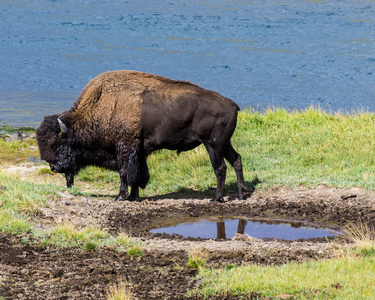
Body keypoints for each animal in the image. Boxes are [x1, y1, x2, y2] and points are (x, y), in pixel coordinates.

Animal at [35, 70, 247, 202]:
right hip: (224, 143)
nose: (53, 167)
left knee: (220, 168)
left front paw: (120, 197)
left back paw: (217, 198)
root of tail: (231, 104)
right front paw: (132, 196)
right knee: (236, 160)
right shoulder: (139, 152)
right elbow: (136, 174)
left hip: (213, 145)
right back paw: (242, 194)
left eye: (58, 144)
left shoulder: (124, 148)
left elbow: (124, 173)